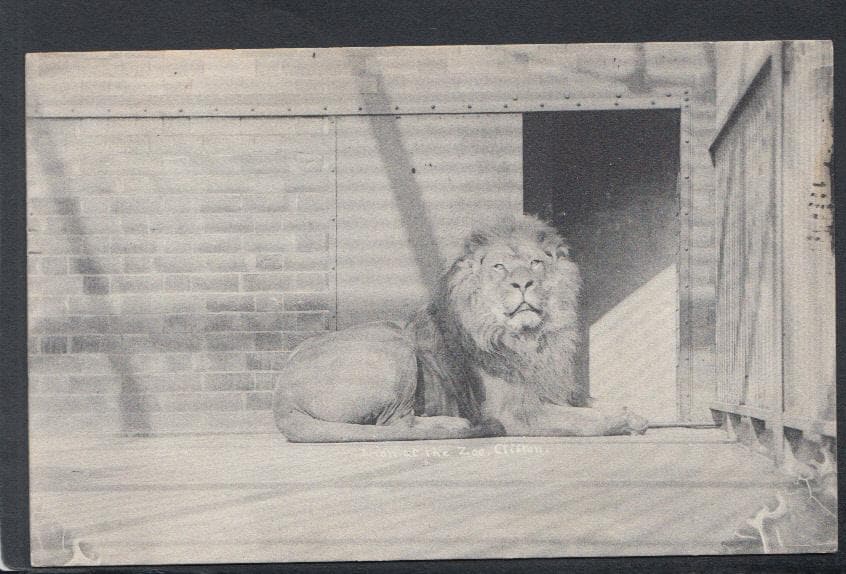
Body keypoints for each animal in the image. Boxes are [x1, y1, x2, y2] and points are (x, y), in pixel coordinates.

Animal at [273, 214, 649, 442]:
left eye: (535, 263)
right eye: (499, 267)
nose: (523, 283)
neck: (532, 339)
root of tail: (282, 399)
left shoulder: (560, 392)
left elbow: (600, 404)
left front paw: (633, 412)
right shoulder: (517, 413)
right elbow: (586, 421)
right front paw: (623, 421)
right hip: (394, 345)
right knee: (396, 424)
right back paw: (458, 424)